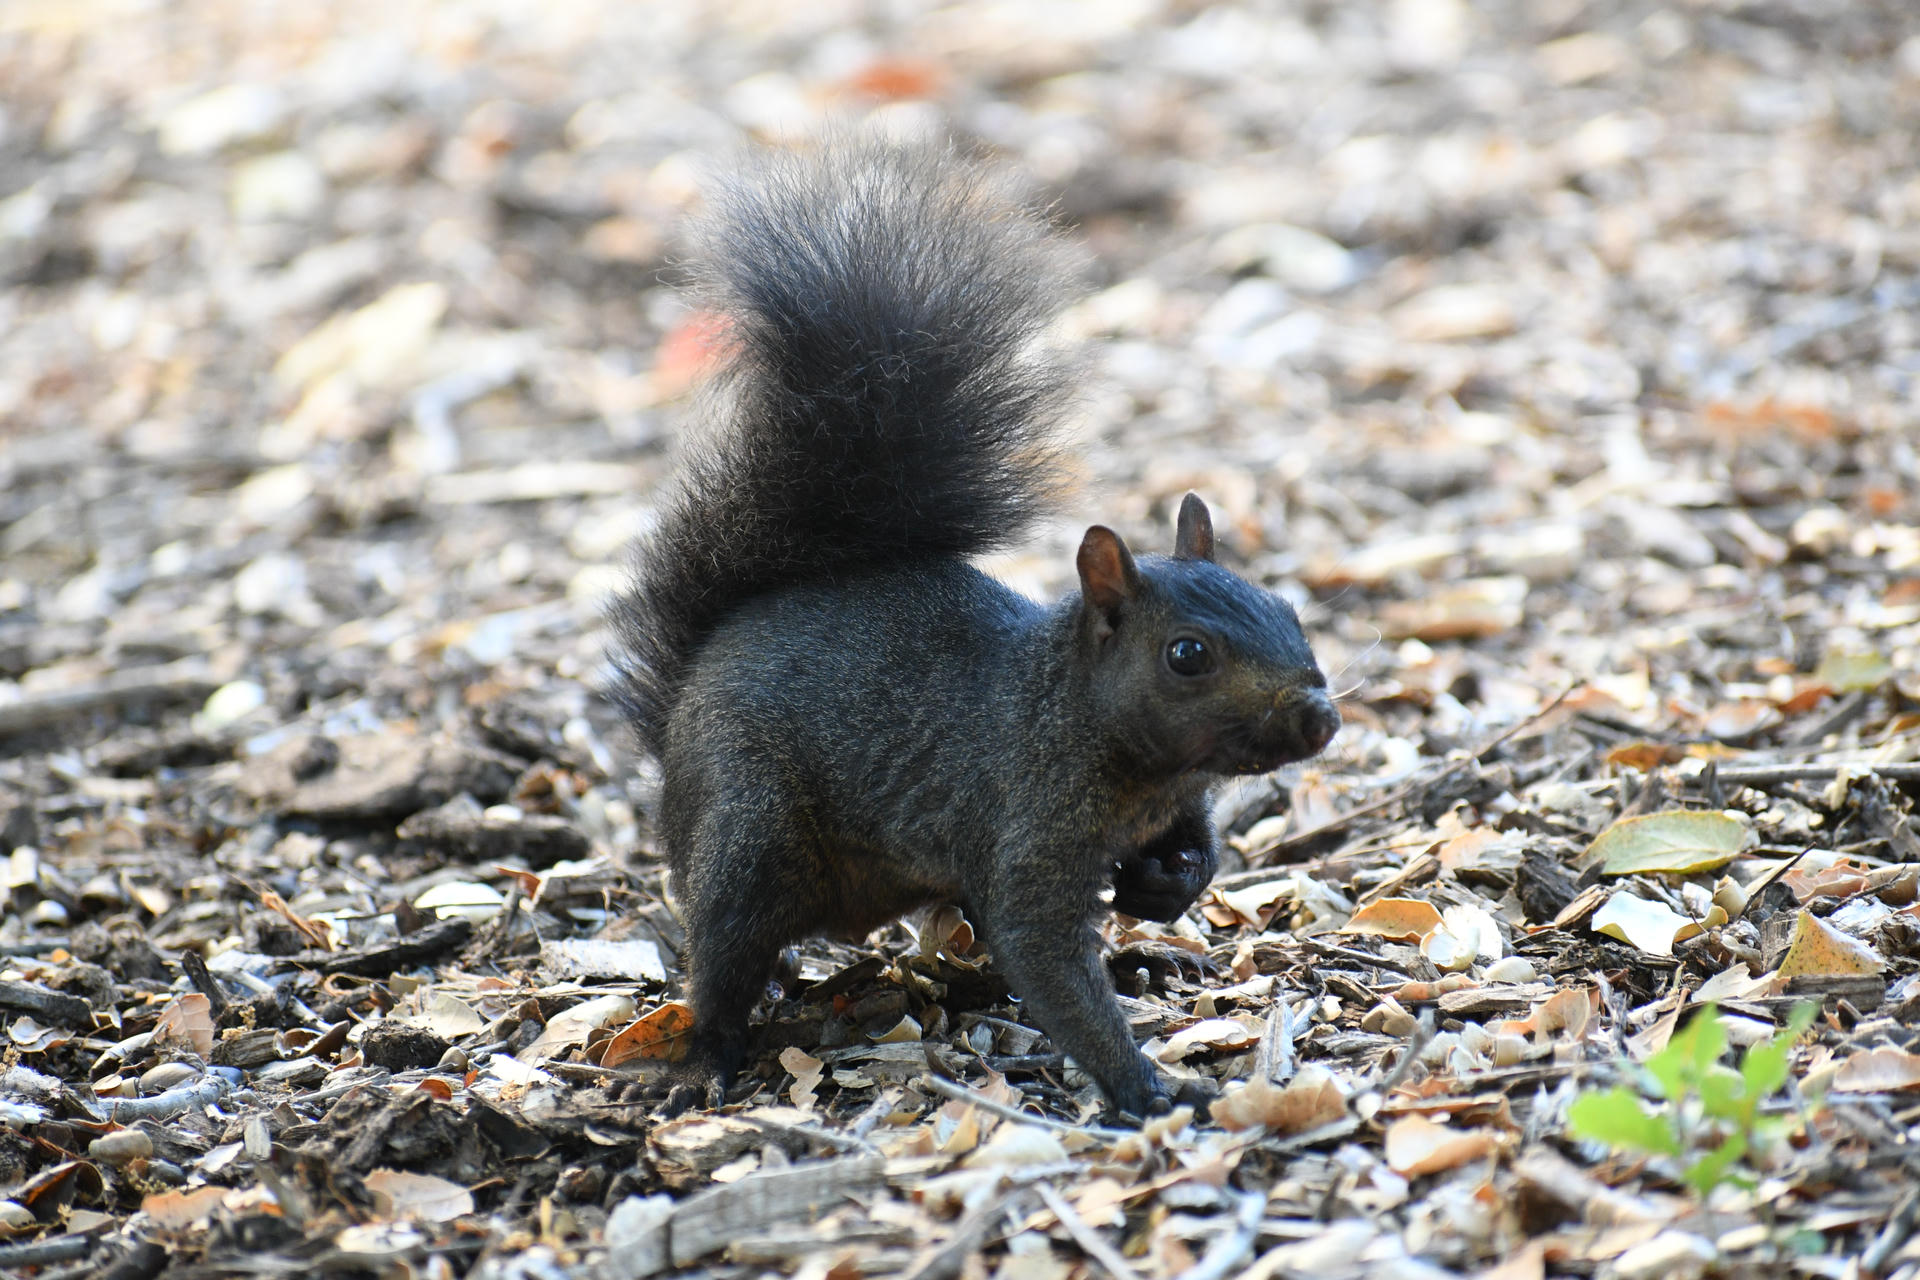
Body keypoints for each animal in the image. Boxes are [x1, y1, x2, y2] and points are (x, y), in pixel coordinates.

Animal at [612, 140, 1339, 1119]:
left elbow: (1199, 851)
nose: (1319, 716)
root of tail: (679, 715)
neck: (1080, 720)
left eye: (1290, 611)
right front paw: (1145, 1085)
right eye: (1187, 655)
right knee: (724, 957)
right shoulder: (1027, 820)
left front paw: (1165, 884)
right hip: (747, 826)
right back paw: (704, 1059)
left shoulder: (1177, 801)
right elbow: (1045, 954)